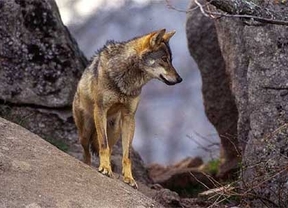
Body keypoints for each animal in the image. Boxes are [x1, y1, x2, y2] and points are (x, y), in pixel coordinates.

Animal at [73, 29, 182, 188]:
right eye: (164, 59)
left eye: (171, 60)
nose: (180, 79)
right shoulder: (101, 109)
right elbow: (103, 145)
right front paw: (105, 168)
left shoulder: (129, 117)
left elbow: (127, 155)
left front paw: (129, 178)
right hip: (86, 132)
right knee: (87, 151)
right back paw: (91, 164)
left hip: (114, 130)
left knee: (109, 148)